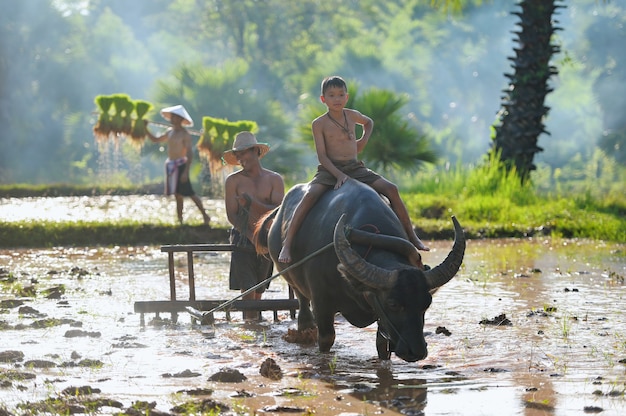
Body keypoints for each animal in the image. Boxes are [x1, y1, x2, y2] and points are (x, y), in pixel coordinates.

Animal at [254, 179, 464, 360]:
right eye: (393, 304)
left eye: (426, 303)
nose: (417, 351)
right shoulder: (322, 303)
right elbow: (326, 339)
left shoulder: (380, 313)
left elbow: (382, 345)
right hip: (293, 280)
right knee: (302, 304)